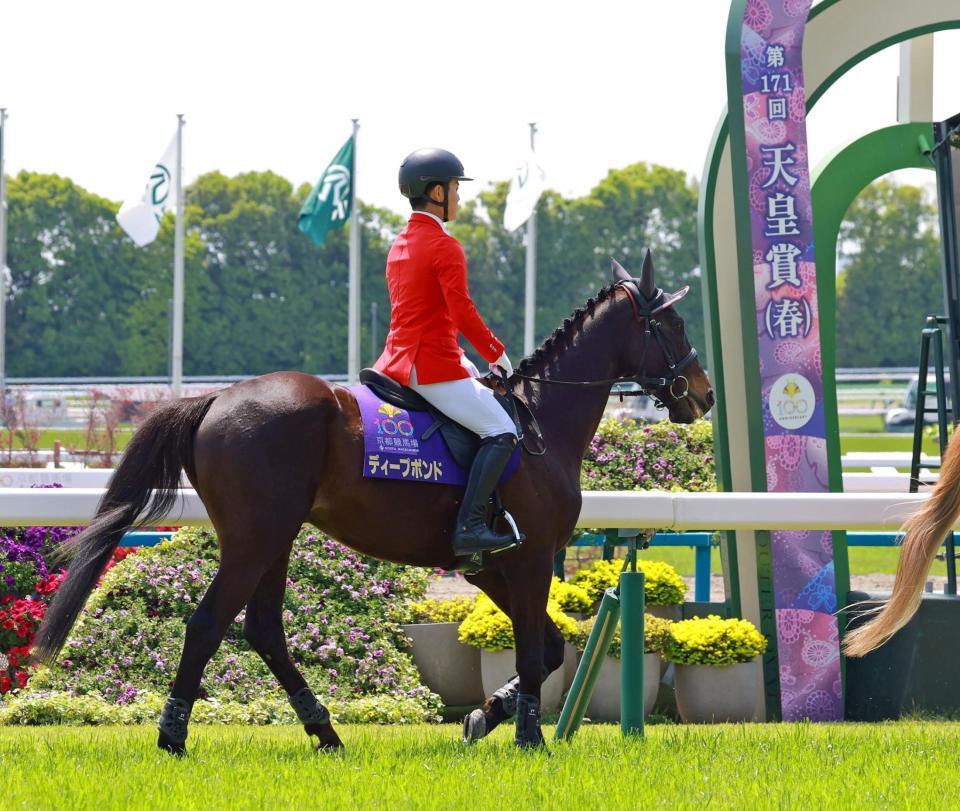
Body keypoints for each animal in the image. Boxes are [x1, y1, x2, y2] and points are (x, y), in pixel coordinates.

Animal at [33, 249, 713, 753]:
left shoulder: (492, 566)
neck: (540, 420)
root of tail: (216, 400)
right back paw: (174, 737)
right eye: (673, 324)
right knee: (208, 624)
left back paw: (324, 731)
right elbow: (529, 646)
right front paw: (529, 738)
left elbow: (544, 650)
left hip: (275, 539)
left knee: (263, 628)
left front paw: (484, 717)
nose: (702, 394)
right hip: (255, 539)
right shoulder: (527, 558)